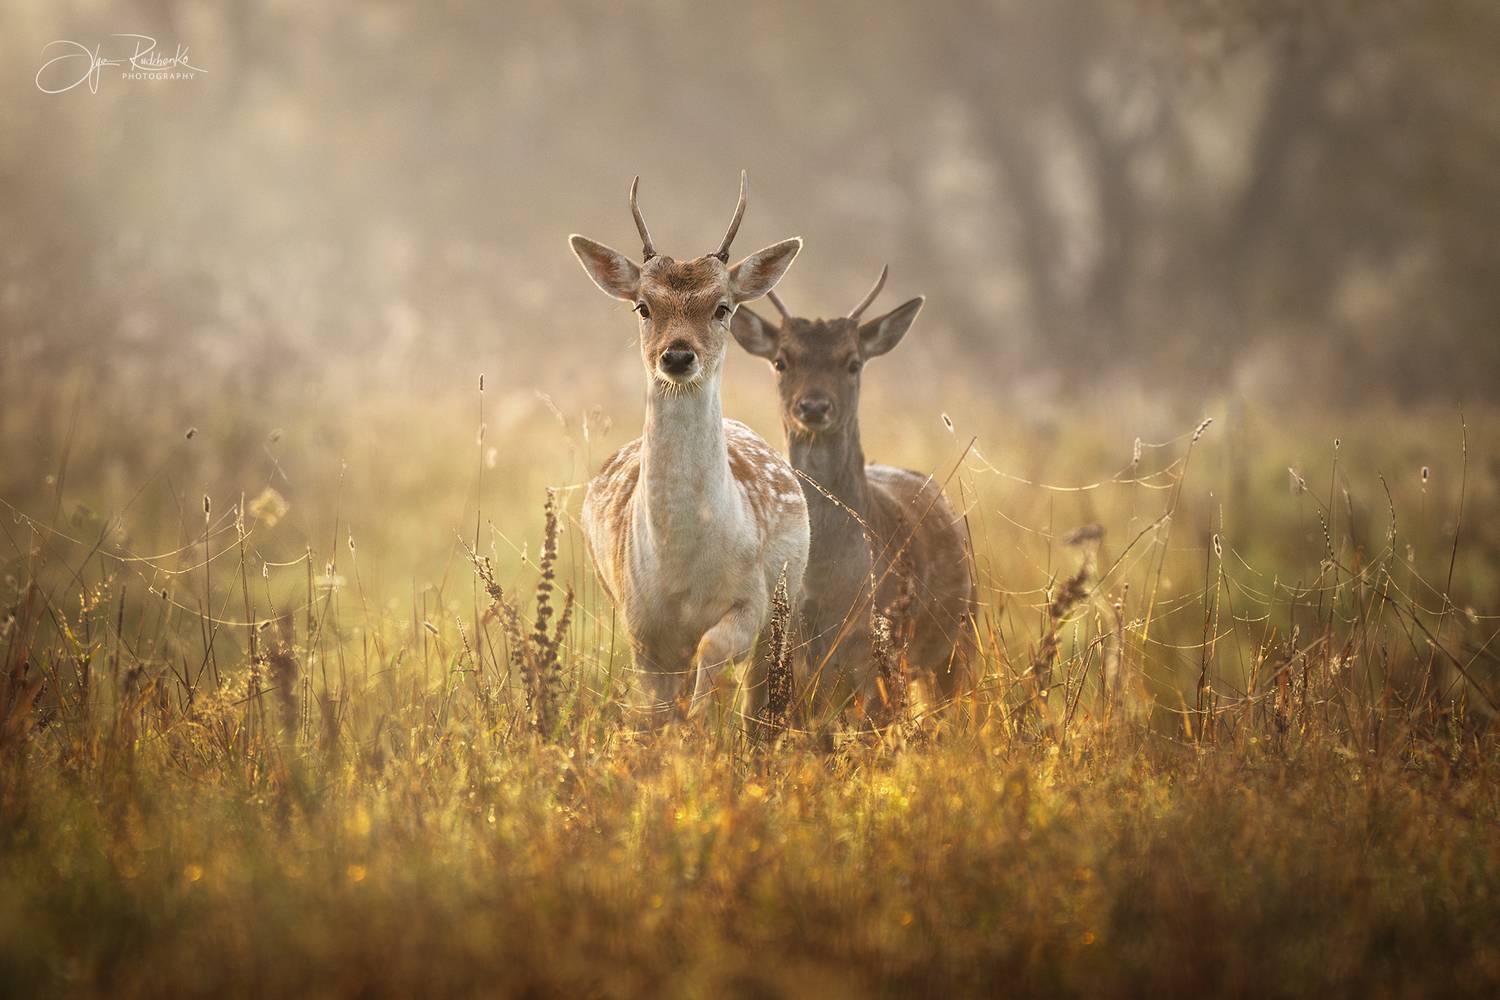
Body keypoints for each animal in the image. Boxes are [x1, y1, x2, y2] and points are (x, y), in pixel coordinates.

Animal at [569, 174, 809, 728]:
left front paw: (704, 722)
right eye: (643, 305)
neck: (682, 577)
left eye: (723, 306)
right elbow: (662, 709)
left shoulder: (751, 598)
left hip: (788, 601)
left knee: (760, 684)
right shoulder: (639, 624)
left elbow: (713, 649)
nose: (677, 355)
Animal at [730, 265, 975, 718]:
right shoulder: (763, 652)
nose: (813, 406)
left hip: (959, 640)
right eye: (781, 361)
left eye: (853, 362)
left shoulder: (877, 654)